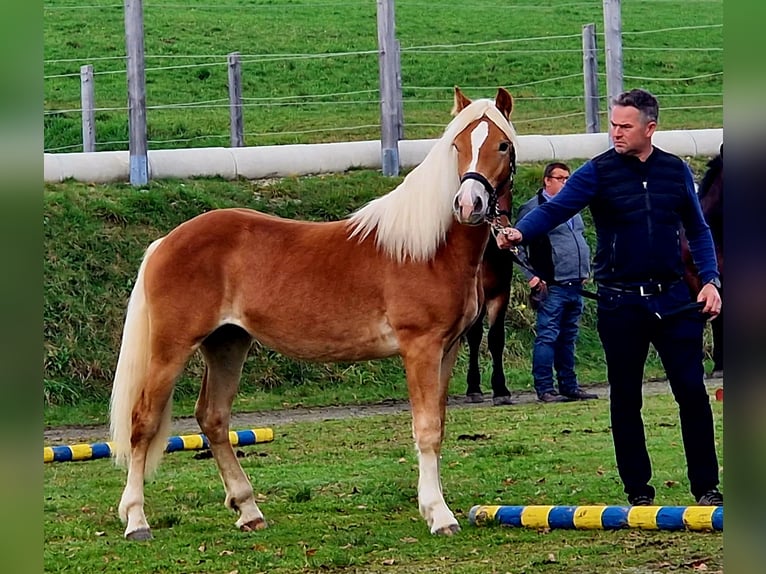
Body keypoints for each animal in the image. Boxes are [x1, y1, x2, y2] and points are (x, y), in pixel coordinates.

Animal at [109, 87, 518, 540]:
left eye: (503, 145)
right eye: (457, 145)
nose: (468, 203)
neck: (428, 249)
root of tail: (164, 242)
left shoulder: (447, 350)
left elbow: (439, 427)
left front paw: (434, 509)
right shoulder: (421, 349)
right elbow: (426, 430)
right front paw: (440, 515)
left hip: (227, 343)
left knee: (213, 418)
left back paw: (248, 509)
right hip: (171, 348)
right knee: (143, 421)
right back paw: (136, 520)